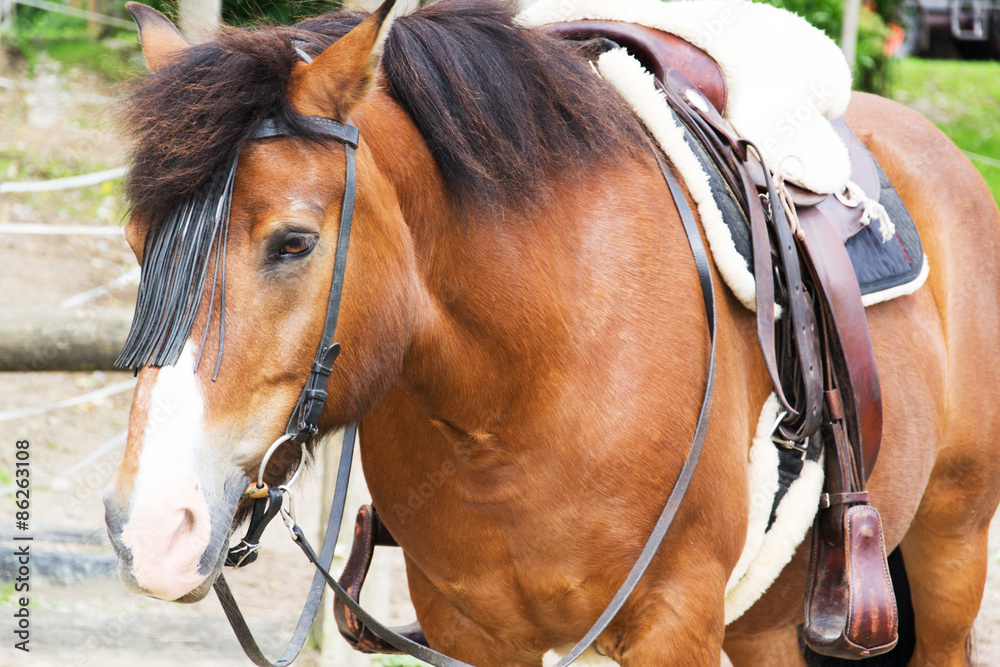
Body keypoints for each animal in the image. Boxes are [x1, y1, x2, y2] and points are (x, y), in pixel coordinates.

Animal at [102, 0, 1000, 664]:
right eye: (139, 244)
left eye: (293, 242)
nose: (151, 528)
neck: (520, 386)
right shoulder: (469, 630)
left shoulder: (673, 622)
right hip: (770, 619)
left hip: (951, 542)